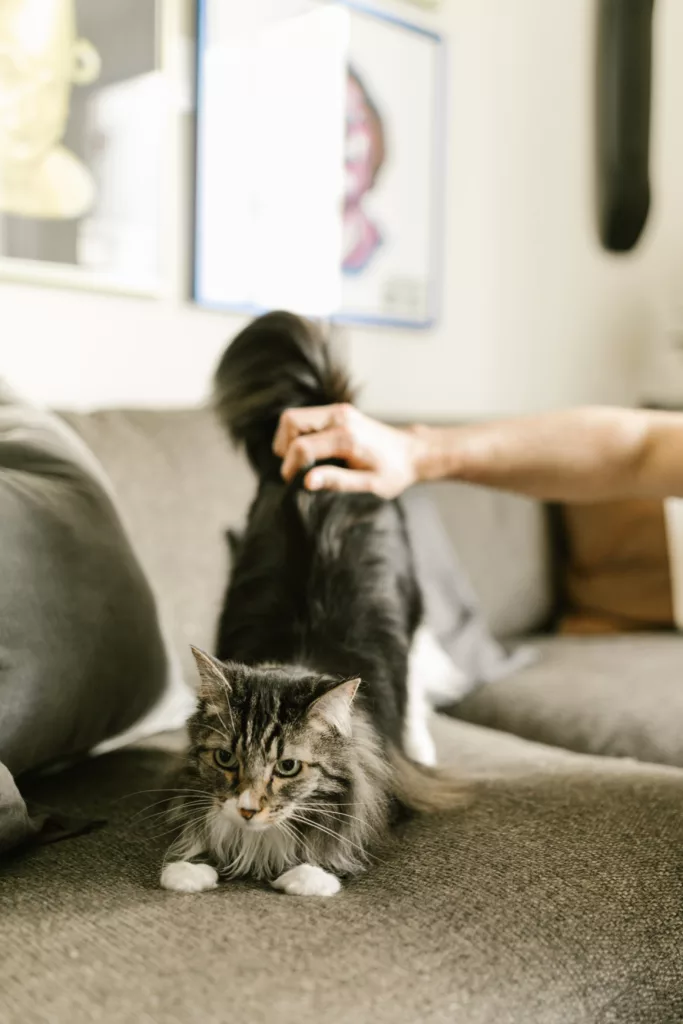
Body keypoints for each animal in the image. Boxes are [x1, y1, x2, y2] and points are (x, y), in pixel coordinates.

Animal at [159, 311, 458, 897]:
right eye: (225, 758)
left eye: (288, 769)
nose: (248, 808)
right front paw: (188, 870)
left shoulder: (382, 789)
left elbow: (339, 836)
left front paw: (307, 876)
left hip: (413, 614)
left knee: (417, 690)